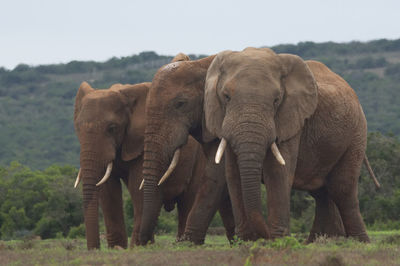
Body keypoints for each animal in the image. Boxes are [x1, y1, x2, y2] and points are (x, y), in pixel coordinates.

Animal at [73, 79, 234, 249]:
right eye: (77, 128)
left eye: (112, 128)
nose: (94, 249)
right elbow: (108, 190)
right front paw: (117, 249)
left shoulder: (142, 141)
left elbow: (138, 188)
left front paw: (136, 248)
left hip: (200, 160)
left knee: (187, 201)